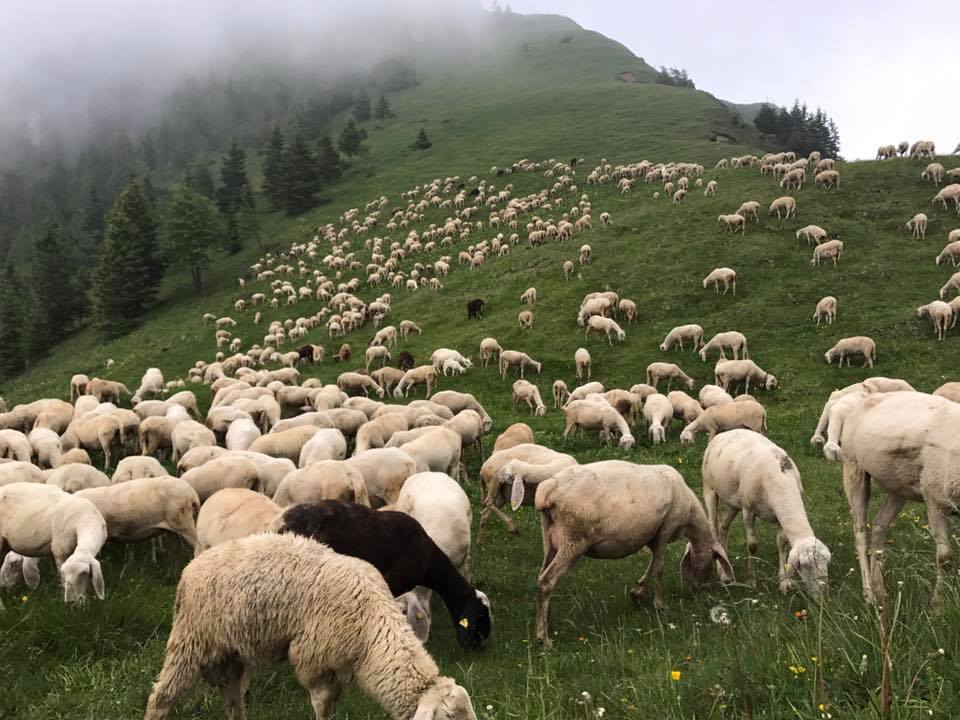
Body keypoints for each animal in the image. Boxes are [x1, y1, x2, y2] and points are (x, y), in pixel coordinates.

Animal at [143, 532, 480, 720]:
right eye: (450, 717)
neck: (371, 636)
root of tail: (190, 569)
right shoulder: (316, 667)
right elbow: (324, 710)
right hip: (191, 643)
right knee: (161, 700)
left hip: (232, 654)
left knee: (232, 700)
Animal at [532, 462, 736, 648]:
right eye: (712, 562)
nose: (703, 589)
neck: (690, 519)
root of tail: (549, 489)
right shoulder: (666, 528)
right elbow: (659, 566)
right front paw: (659, 604)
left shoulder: (653, 534)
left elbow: (653, 563)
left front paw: (637, 593)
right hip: (574, 540)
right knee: (547, 581)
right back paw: (543, 638)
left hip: (550, 538)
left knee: (542, 577)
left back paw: (549, 625)